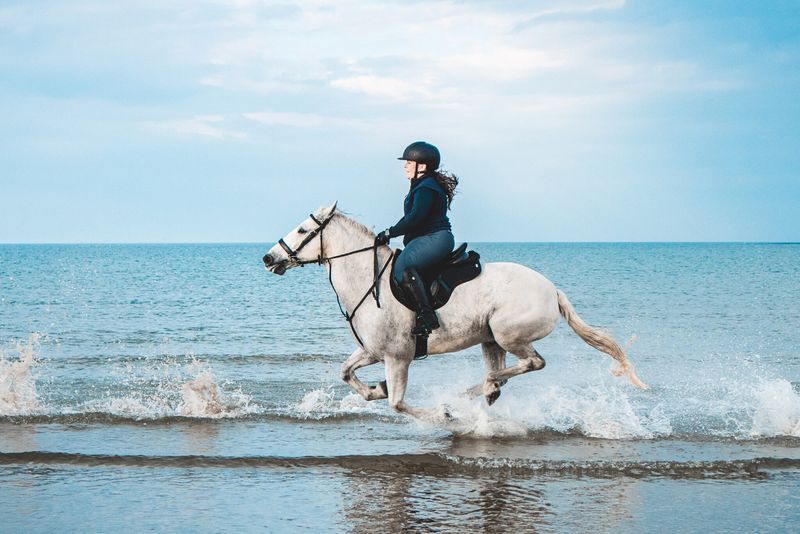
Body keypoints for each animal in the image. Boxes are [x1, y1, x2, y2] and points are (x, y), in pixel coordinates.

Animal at [264, 204, 648, 422]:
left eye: (303, 230)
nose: (269, 258)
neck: (368, 279)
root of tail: (552, 290)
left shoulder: (398, 357)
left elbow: (398, 404)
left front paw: (440, 413)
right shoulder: (372, 351)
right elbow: (345, 373)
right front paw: (375, 389)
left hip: (508, 333)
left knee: (532, 363)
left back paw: (472, 394)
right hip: (491, 340)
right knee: (502, 372)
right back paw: (482, 391)